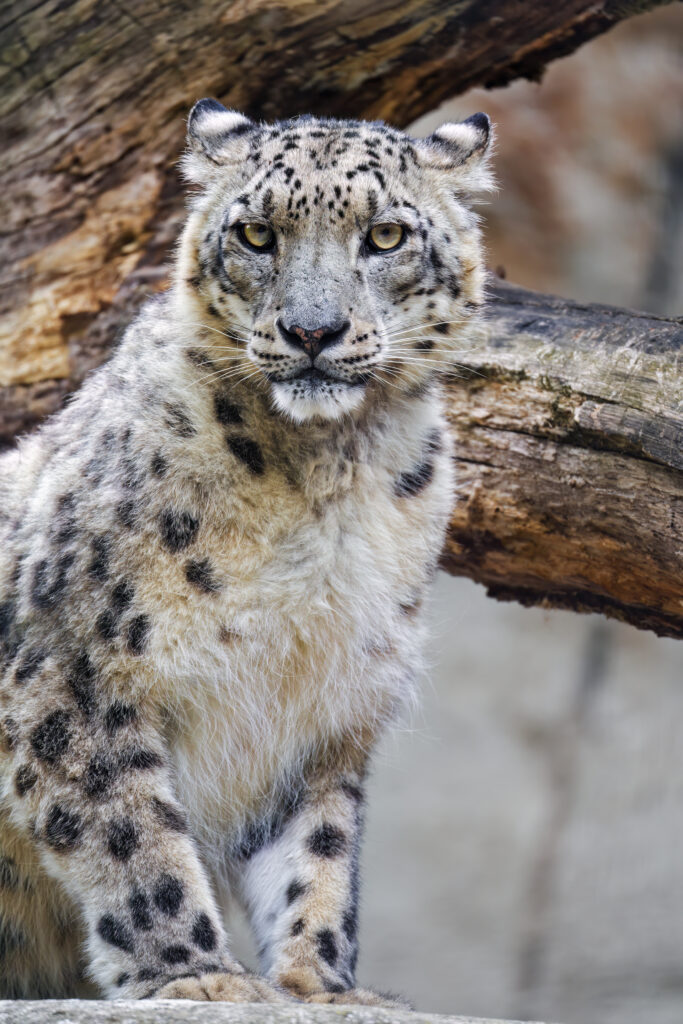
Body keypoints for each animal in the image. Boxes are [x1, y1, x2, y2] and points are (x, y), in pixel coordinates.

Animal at [0, 99, 493, 1004]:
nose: (312, 330)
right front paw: (194, 977)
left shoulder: (324, 712)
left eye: (385, 236)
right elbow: (130, 830)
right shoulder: (73, 669)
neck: (331, 478)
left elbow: (319, 852)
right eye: (257, 234)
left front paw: (319, 985)